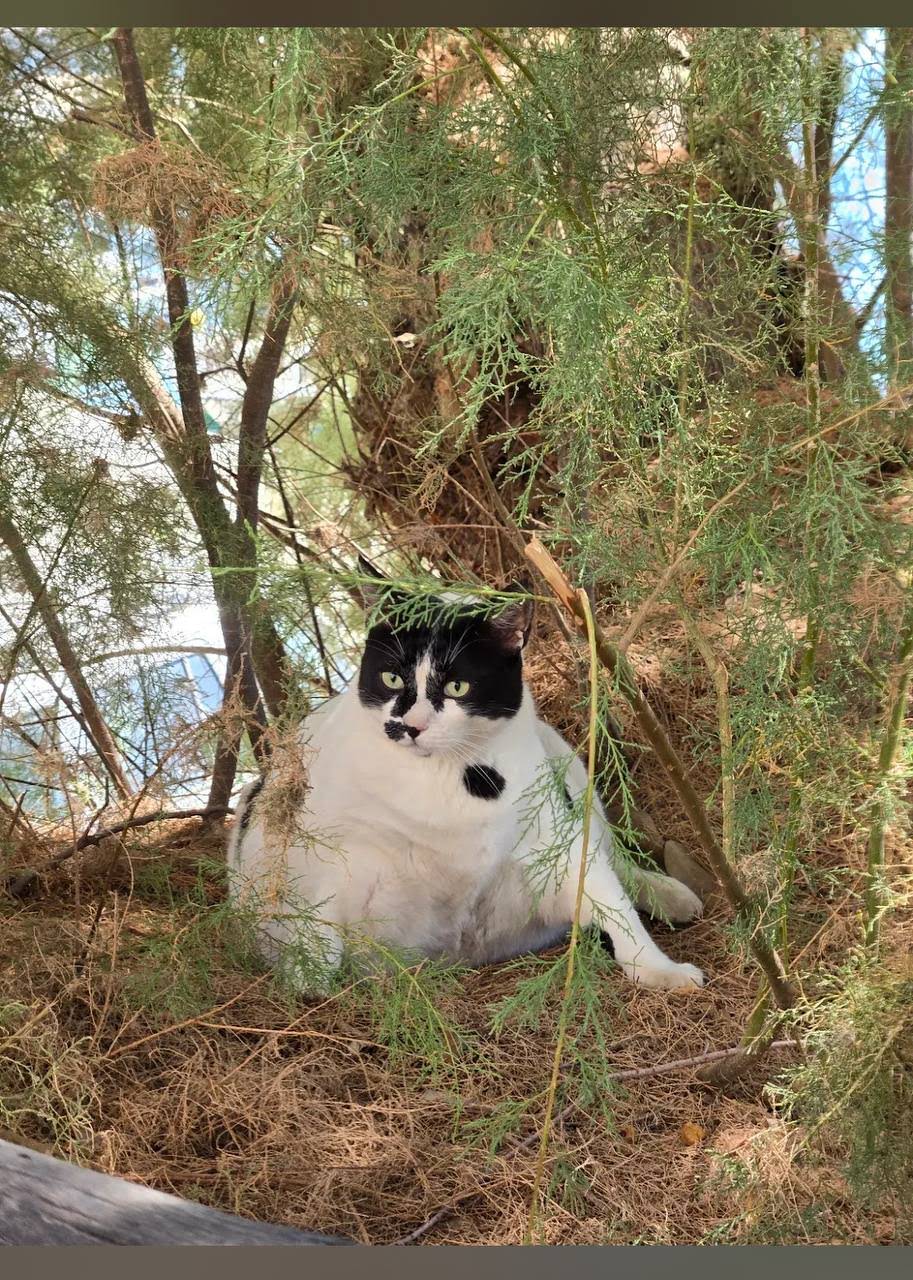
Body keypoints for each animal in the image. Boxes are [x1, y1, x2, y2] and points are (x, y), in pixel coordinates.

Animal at [228, 561, 704, 993]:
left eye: (457, 687)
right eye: (391, 678)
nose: (411, 726)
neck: (451, 785)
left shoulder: (555, 842)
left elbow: (612, 902)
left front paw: (662, 970)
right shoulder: (331, 862)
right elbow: (315, 924)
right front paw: (306, 981)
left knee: (613, 858)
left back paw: (673, 895)